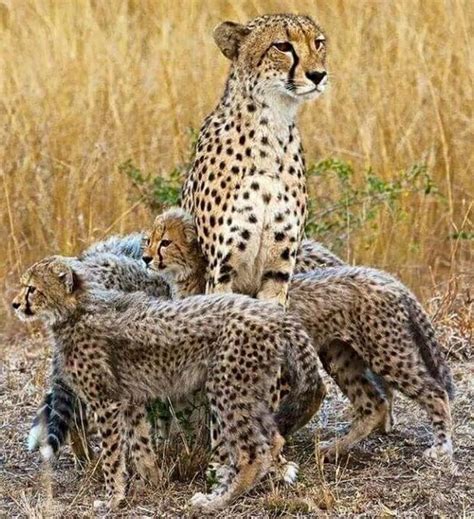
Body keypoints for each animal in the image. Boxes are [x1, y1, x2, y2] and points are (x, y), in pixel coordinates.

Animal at [144, 207, 456, 460]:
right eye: (148, 239)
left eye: (165, 242)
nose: (146, 258)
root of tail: (385, 277)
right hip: (340, 355)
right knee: (372, 402)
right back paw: (335, 448)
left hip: (387, 351)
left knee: (434, 391)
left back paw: (441, 447)